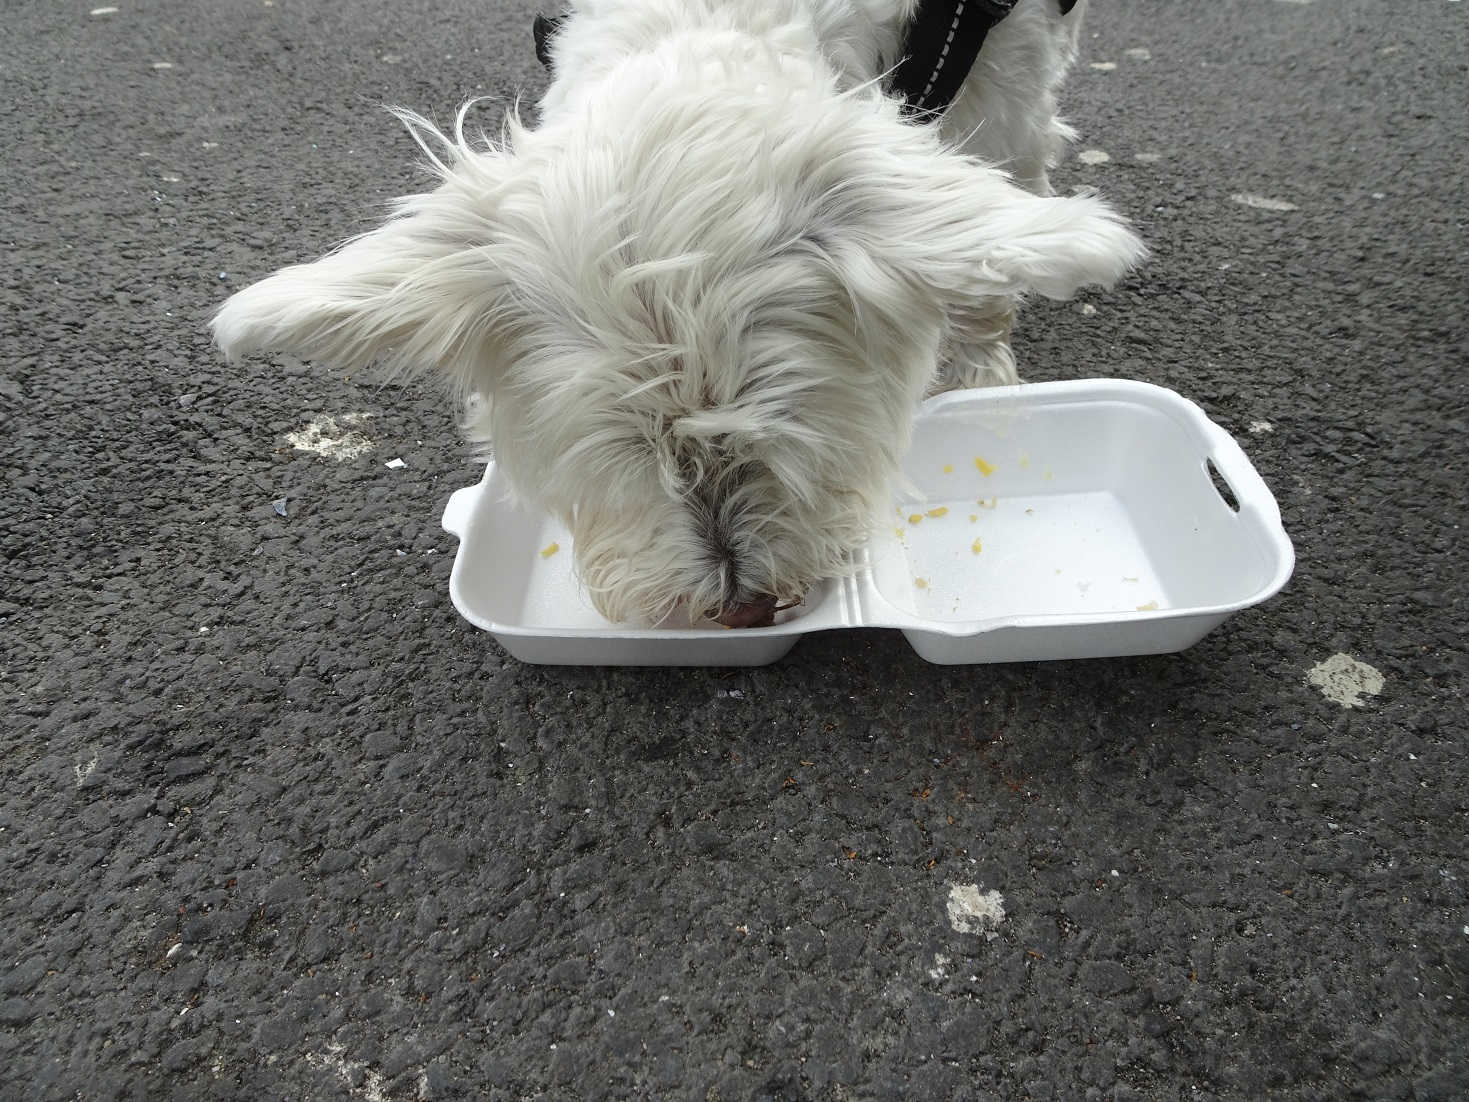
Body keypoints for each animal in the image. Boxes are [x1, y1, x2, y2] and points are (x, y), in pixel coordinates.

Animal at [213, 0, 1139, 625]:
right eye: (625, 455)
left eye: (785, 436)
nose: (742, 609)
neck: (707, 22)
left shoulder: (1002, 83)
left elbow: (990, 225)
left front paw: (984, 372)